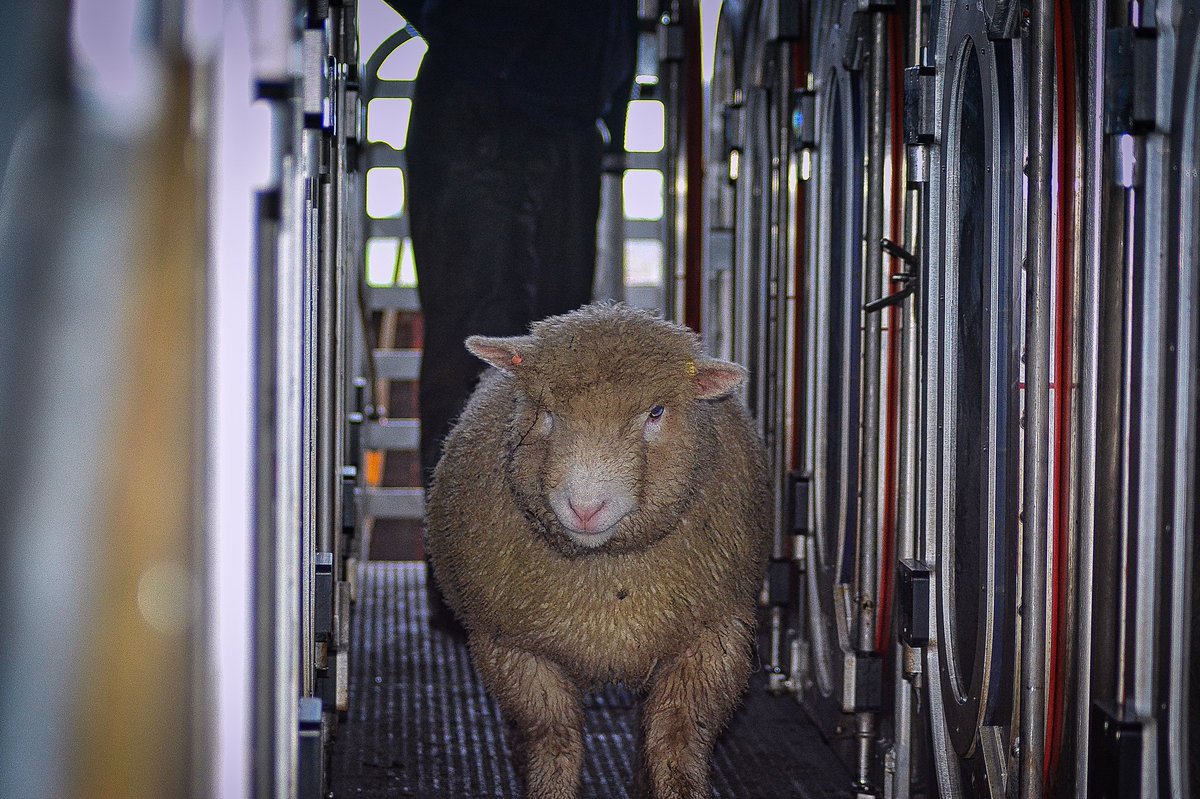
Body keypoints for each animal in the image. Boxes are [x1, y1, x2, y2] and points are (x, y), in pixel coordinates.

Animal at [425, 303, 771, 799]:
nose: (585, 508)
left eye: (656, 411)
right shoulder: (514, 647)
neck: (606, 573)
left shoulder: (712, 639)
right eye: (546, 412)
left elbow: (677, 737)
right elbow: (553, 739)